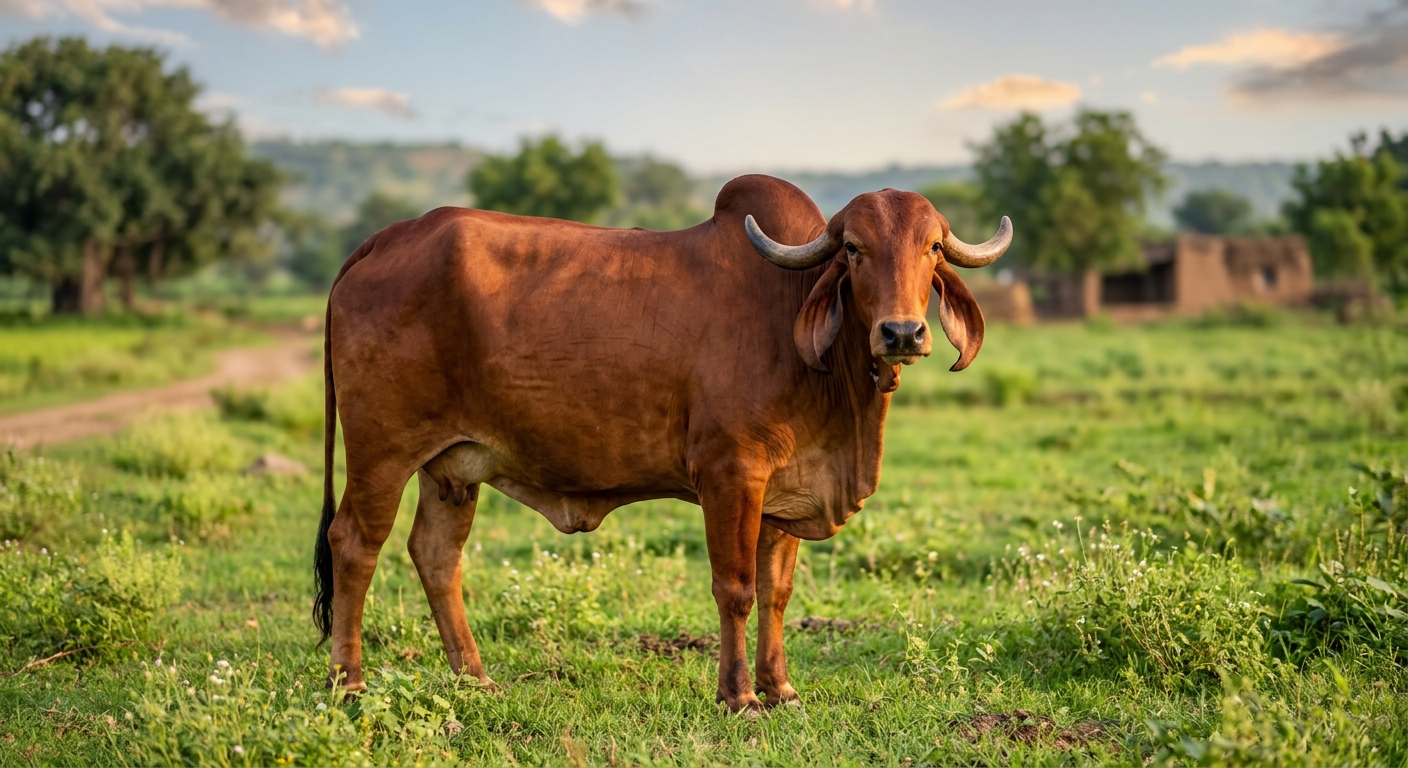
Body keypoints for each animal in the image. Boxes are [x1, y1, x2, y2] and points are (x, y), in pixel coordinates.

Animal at [313, 174, 1011, 712]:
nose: (902, 333)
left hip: (451, 468)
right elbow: (736, 588)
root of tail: (386, 238)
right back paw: (349, 684)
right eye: (856, 250)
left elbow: (777, 592)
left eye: (932, 247)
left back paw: (475, 680)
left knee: (435, 555)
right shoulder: (731, 473)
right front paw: (740, 698)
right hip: (382, 452)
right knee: (354, 545)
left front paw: (781, 689)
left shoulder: (785, 490)